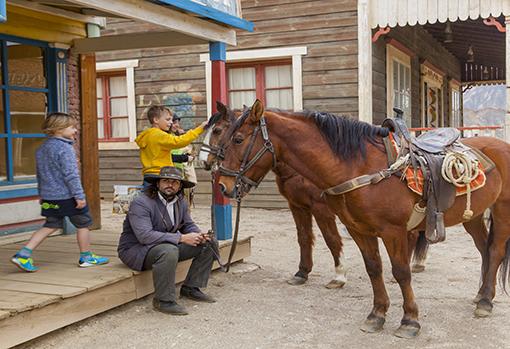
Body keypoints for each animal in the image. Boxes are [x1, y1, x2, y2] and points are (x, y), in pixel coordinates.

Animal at [199, 102, 346, 286]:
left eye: (217, 130)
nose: (202, 161)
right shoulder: (297, 205)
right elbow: (303, 237)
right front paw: (302, 272)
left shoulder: (320, 208)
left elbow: (331, 238)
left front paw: (339, 275)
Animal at [216, 100, 510, 338]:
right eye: (223, 136)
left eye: (238, 139)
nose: (222, 186)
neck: (359, 167)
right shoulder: (359, 229)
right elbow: (373, 269)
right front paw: (377, 315)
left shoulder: (393, 232)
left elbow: (401, 272)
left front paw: (409, 320)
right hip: (472, 216)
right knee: (484, 250)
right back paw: (482, 295)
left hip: (502, 210)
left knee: (495, 251)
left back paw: (485, 302)